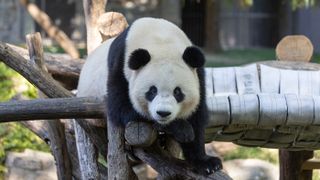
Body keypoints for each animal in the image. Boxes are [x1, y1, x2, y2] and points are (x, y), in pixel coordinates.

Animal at [77, 17, 222, 174]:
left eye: (177, 92)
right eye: (152, 91)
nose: (163, 113)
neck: (160, 39)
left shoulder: (198, 75)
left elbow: (197, 116)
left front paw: (206, 162)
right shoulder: (119, 67)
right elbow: (122, 107)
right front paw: (182, 129)